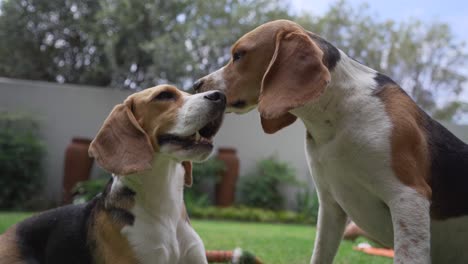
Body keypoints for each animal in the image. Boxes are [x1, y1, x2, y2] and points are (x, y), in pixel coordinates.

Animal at [194, 19, 468, 262]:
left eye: (239, 55)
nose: (197, 84)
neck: (337, 114)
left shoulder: (409, 197)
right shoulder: (330, 207)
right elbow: (320, 255)